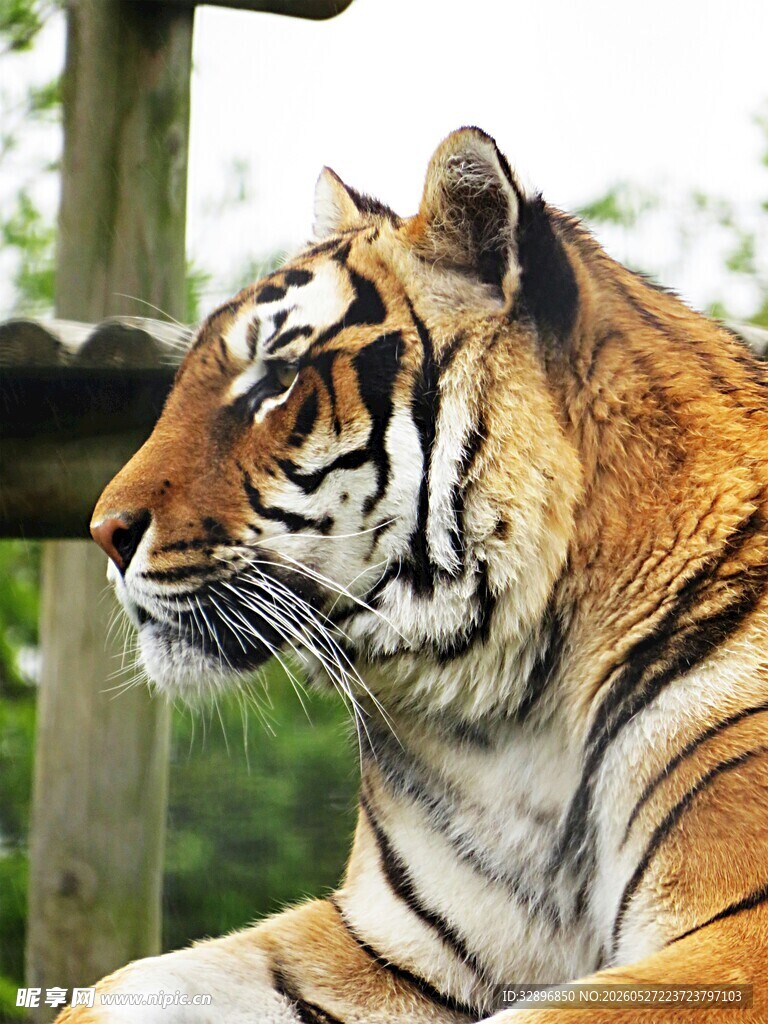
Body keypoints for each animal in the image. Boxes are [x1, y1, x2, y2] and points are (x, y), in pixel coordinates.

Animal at [62, 126, 768, 1023]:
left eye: (277, 380)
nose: (104, 532)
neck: (516, 707)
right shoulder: (392, 944)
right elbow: (116, 986)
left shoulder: (738, 937)